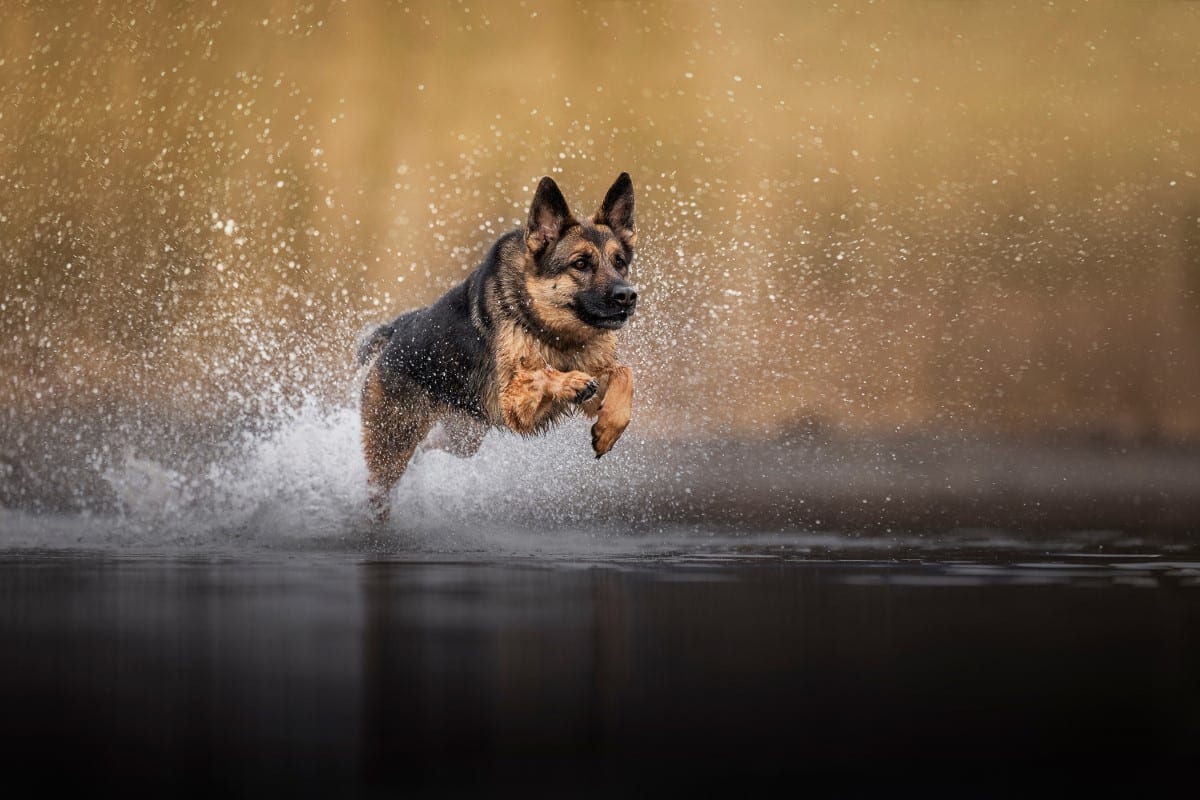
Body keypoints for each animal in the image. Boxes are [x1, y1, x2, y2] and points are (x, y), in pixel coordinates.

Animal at [352, 172, 638, 522]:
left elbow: (624, 373)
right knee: (380, 490)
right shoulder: (513, 404)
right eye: (581, 263)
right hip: (392, 448)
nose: (628, 296)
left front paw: (608, 429)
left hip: (464, 439)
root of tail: (397, 331)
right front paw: (569, 380)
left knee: (429, 446)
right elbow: (542, 372)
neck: (554, 331)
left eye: (619, 262)